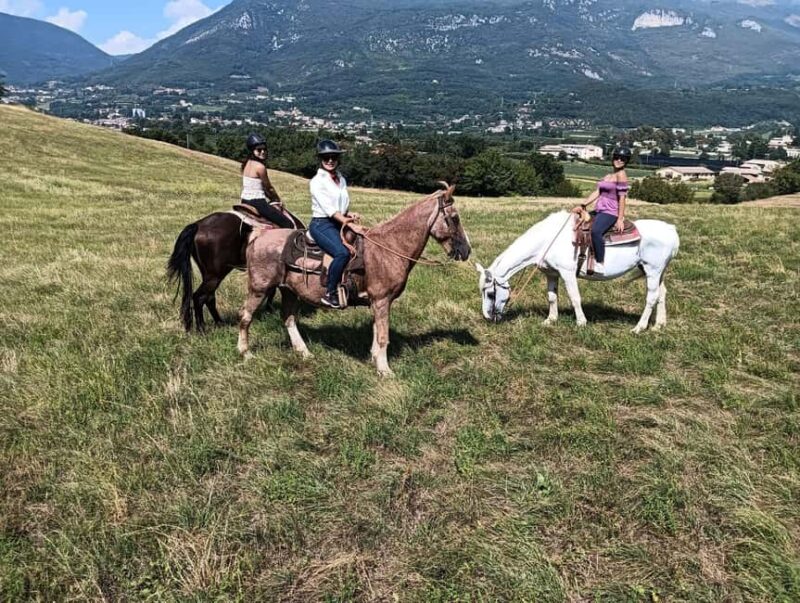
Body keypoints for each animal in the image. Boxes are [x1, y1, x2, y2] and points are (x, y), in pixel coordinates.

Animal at [166, 209, 303, 332]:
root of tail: (198, 225)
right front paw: (270, 310)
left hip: (210, 275)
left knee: (209, 297)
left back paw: (220, 323)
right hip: (216, 275)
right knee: (199, 297)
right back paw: (202, 329)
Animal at [237, 184, 471, 376]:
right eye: (455, 217)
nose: (466, 251)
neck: (389, 247)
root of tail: (259, 235)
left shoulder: (379, 302)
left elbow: (376, 332)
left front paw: (376, 361)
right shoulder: (381, 300)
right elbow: (383, 335)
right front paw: (385, 370)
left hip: (289, 291)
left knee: (288, 318)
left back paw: (304, 352)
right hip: (259, 288)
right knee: (246, 316)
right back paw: (245, 353)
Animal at [476, 210, 680, 332]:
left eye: (491, 293)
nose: (487, 317)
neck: (548, 239)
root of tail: (671, 230)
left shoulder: (567, 273)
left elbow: (575, 298)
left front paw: (581, 322)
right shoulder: (551, 273)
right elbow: (552, 297)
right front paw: (550, 320)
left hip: (653, 270)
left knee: (651, 297)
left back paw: (639, 327)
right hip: (656, 271)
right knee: (662, 294)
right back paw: (658, 325)